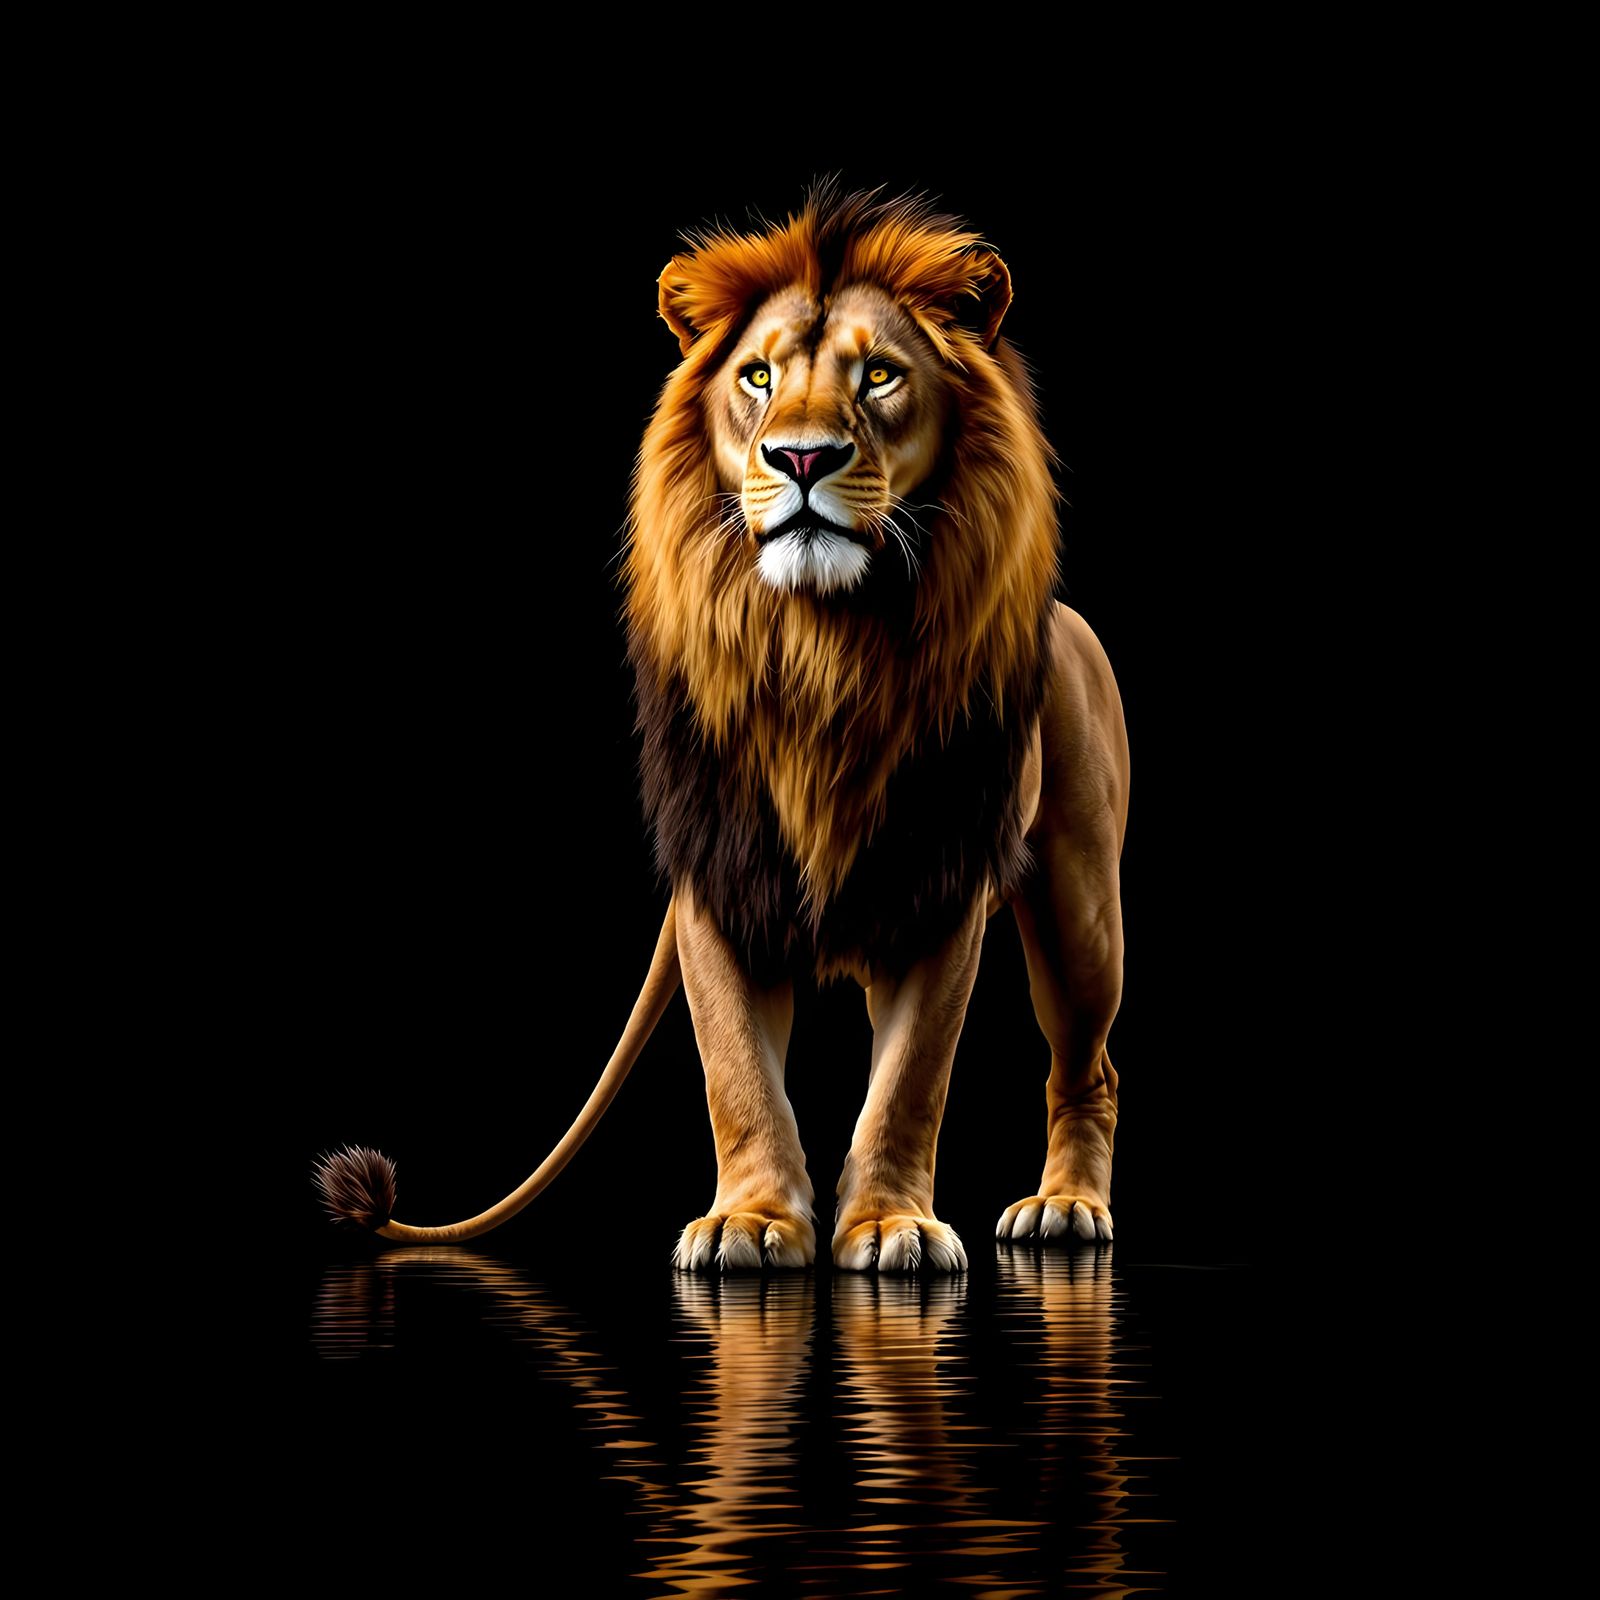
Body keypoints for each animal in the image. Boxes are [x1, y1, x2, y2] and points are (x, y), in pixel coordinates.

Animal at [315, 185, 1130, 1274]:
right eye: (758, 376)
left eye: (879, 375)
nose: (801, 456)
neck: (826, 646)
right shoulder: (718, 875)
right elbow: (737, 1069)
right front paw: (752, 1217)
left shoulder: (941, 885)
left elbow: (909, 1083)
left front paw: (891, 1225)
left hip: (1081, 908)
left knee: (1088, 1065)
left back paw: (1067, 1208)